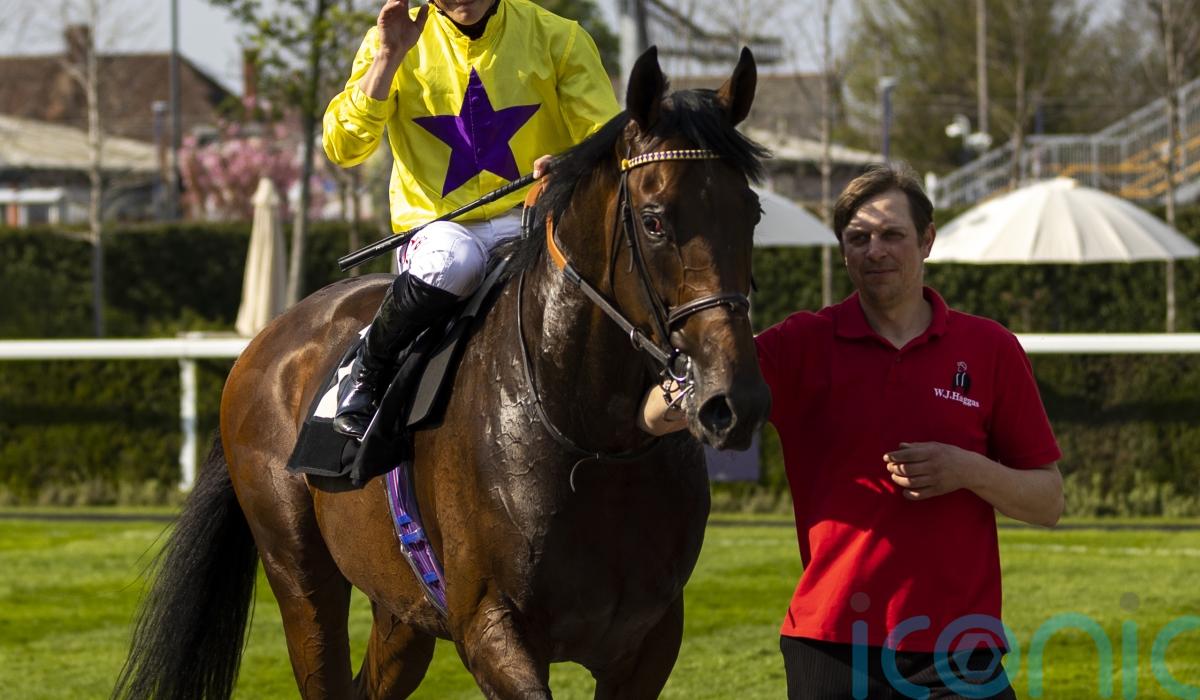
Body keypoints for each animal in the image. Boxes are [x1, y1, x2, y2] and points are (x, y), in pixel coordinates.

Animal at [114, 46, 770, 700]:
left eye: (753, 212)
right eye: (655, 221)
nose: (733, 399)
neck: (589, 437)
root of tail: (263, 342)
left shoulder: (649, 640)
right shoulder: (488, 624)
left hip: (400, 607)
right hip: (299, 572)